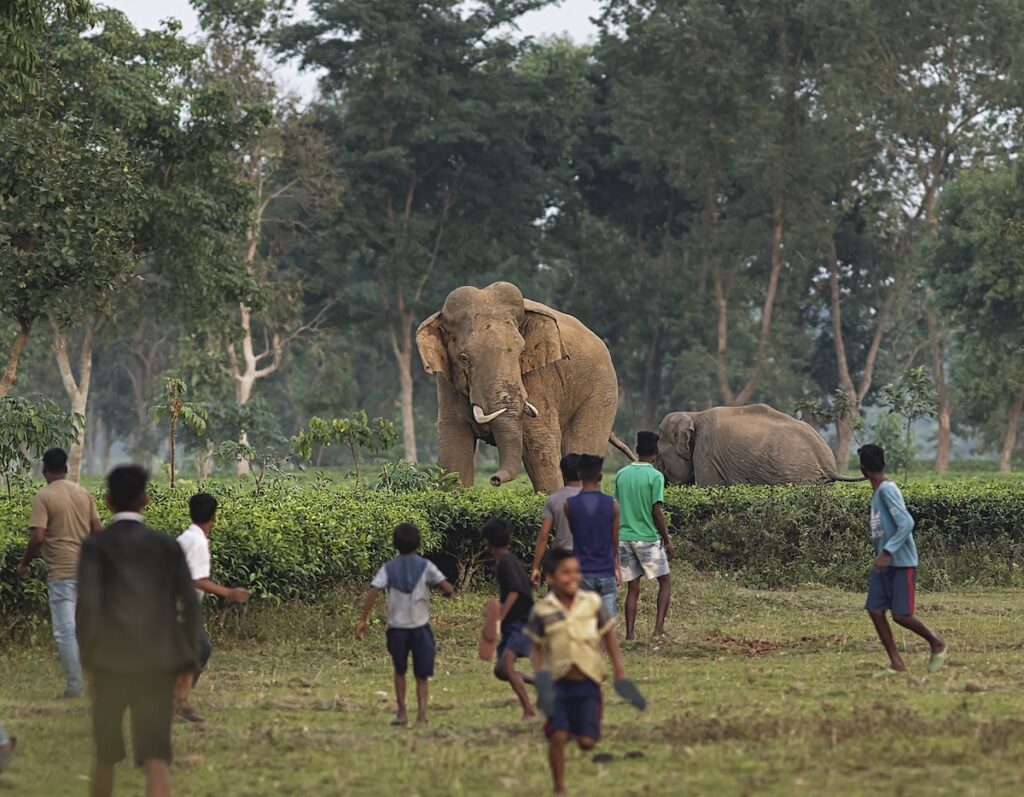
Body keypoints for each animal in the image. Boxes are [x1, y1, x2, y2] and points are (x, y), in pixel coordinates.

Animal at [416, 282, 633, 494]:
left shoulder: (538, 377)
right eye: (463, 358)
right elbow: (453, 450)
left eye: (521, 352)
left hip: (601, 391)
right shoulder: (447, 384)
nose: (494, 480)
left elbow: (539, 444)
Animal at [656, 404, 863, 486]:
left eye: (659, 454)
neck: (693, 414)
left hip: (800, 477)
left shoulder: (705, 453)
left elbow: (708, 487)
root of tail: (826, 460)